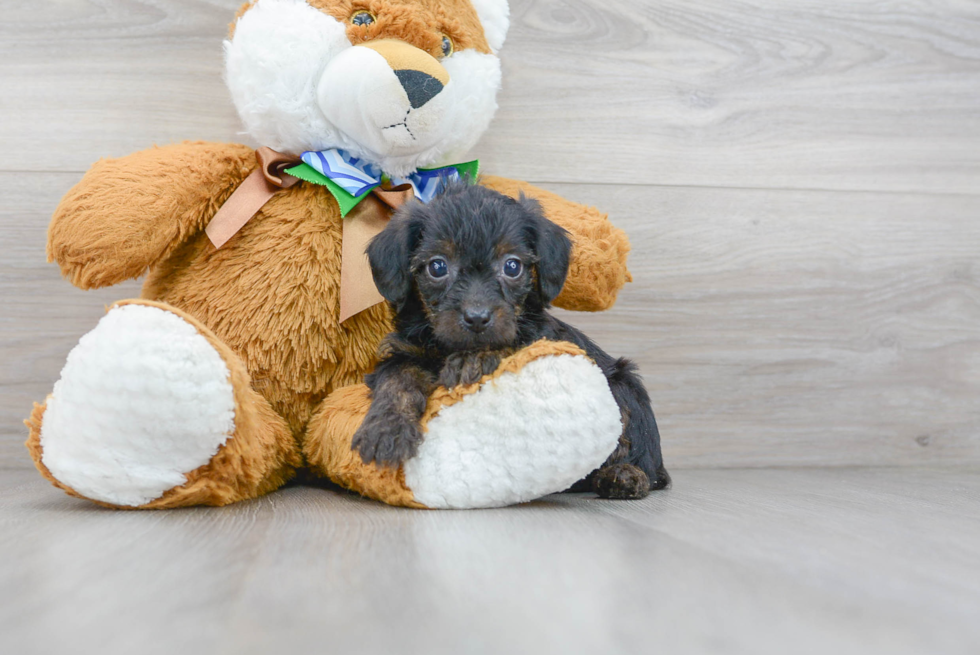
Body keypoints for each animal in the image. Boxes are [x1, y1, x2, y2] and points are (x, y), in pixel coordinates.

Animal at [348, 182, 668, 500]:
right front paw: (387, 428)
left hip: (624, 386)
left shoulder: (539, 337)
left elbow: (512, 343)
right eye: (437, 267)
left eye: (512, 267)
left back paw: (625, 475)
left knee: (641, 454)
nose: (477, 318)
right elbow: (397, 378)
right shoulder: (403, 351)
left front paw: (473, 359)